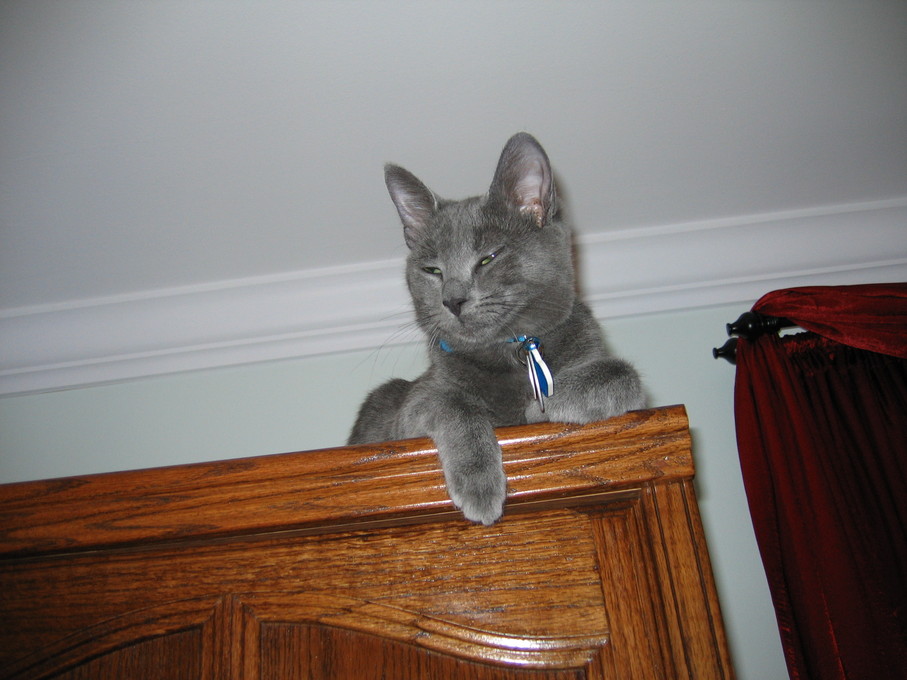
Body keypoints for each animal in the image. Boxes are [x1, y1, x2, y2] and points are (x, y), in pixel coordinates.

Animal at [348, 133, 644, 524]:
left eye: (488, 258)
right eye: (432, 270)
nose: (452, 299)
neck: (511, 350)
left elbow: (621, 372)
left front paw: (541, 405)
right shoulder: (410, 414)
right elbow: (454, 402)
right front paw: (480, 486)